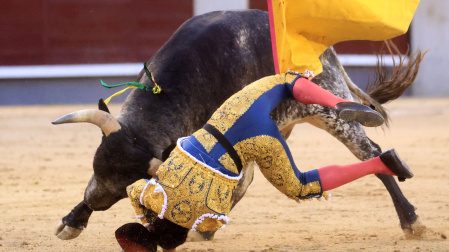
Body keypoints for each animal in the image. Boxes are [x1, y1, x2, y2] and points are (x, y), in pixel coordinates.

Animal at [51, 9, 424, 240]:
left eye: (121, 189)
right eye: (97, 169)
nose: (93, 201)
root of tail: (326, 49)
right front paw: (72, 221)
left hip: (329, 109)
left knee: (370, 152)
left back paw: (410, 219)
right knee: (249, 180)